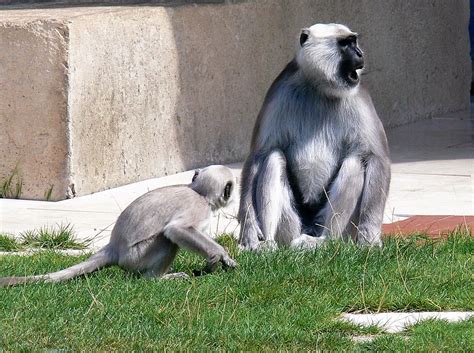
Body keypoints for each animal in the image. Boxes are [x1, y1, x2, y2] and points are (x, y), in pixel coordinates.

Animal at [0, 165, 237, 286]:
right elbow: (176, 230)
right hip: (137, 257)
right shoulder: (198, 208)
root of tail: (114, 247)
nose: (232, 196)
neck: (199, 193)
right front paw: (219, 255)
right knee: (167, 239)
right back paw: (157, 278)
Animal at [239, 23, 390, 249]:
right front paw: (248, 231)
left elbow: (376, 157)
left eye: (353, 41)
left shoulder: (358, 96)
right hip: (291, 226)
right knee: (273, 157)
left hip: (340, 229)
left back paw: (325, 241)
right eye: (345, 44)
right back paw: (269, 244)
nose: (360, 54)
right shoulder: (279, 90)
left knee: (355, 162)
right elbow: (258, 155)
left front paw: (369, 237)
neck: (319, 87)